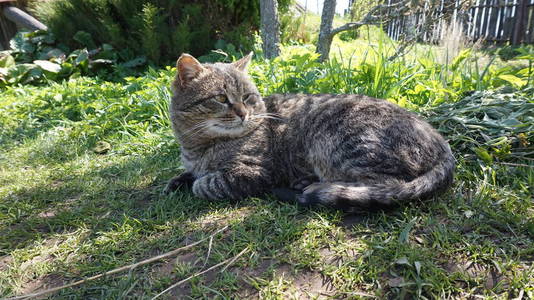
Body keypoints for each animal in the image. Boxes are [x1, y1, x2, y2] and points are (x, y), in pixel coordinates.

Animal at [164, 52, 456, 211]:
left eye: (247, 97)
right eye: (221, 98)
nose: (243, 113)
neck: (198, 147)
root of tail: (443, 145)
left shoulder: (253, 172)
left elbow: (207, 184)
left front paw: (198, 183)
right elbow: (188, 174)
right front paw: (178, 180)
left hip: (341, 143)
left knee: (387, 185)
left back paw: (312, 185)